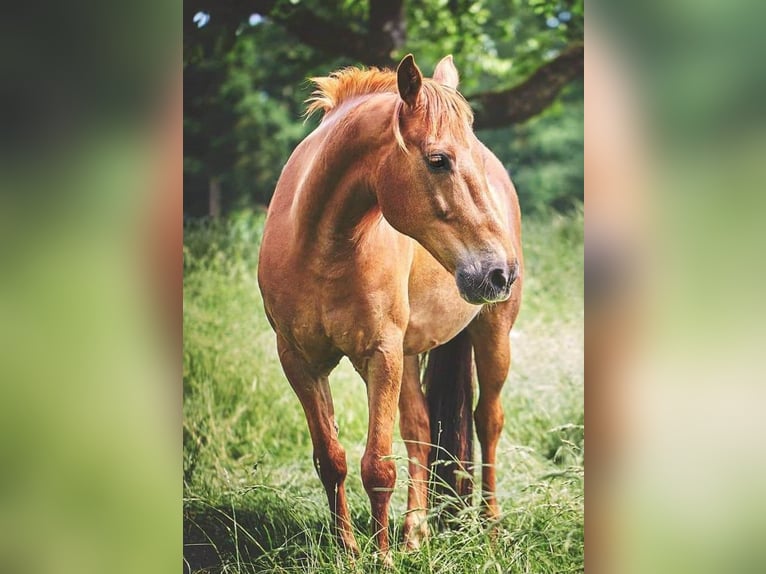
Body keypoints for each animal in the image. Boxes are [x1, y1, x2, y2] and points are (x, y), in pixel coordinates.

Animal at [258, 53, 520, 560]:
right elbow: (332, 459)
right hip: (411, 352)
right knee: (420, 429)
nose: (501, 272)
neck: (322, 247)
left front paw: (379, 557)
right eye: (438, 160)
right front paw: (348, 552)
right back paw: (415, 531)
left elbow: (377, 467)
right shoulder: (299, 362)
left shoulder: (380, 355)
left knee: (488, 422)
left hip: (492, 334)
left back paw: (492, 527)